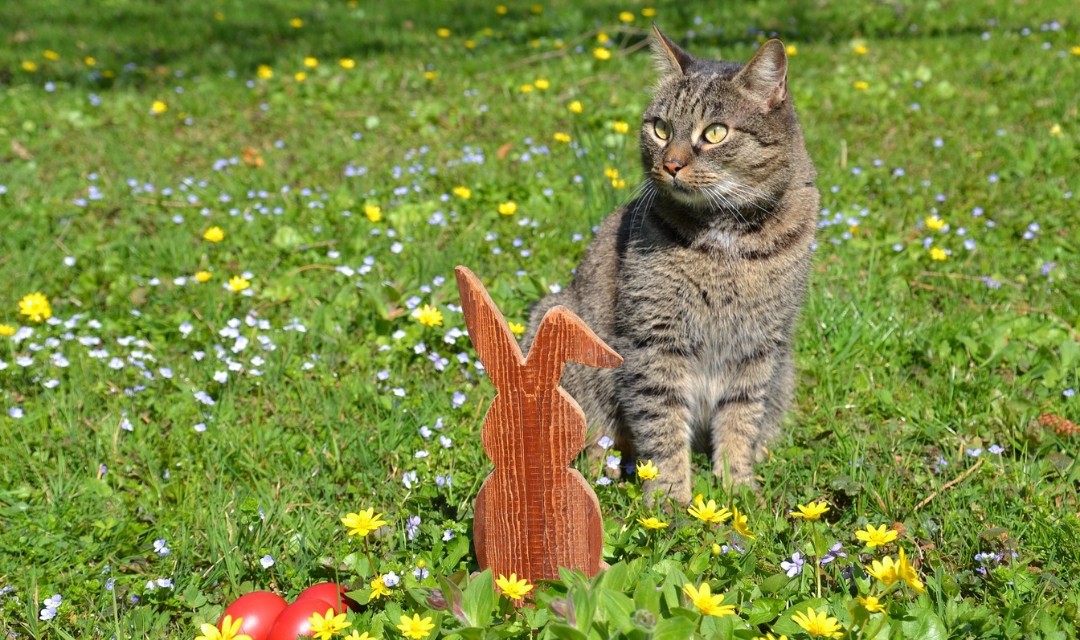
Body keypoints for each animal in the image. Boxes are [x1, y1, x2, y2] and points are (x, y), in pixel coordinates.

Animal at [522, 26, 816, 505]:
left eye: (715, 133)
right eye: (660, 128)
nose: (671, 164)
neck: (725, 236)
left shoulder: (759, 344)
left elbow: (740, 419)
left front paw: (737, 488)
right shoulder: (655, 340)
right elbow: (661, 424)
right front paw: (670, 500)